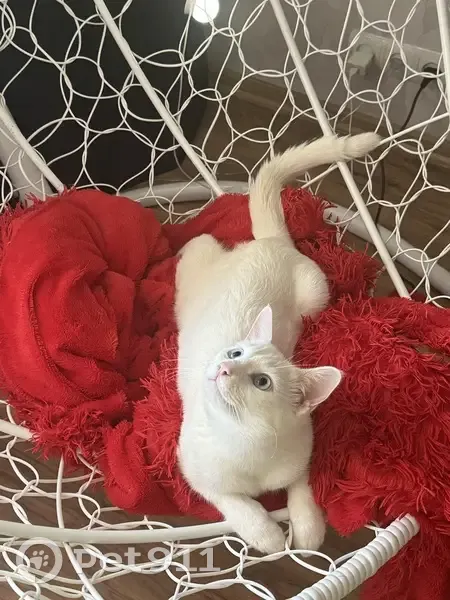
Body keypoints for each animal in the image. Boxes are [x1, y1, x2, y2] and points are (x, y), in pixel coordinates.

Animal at [175, 132, 380, 554]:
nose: (224, 367)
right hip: (198, 265)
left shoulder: (300, 455)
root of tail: (269, 242)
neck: (250, 444)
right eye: (234, 352)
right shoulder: (194, 469)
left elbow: (301, 490)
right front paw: (266, 534)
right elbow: (237, 503)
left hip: (316, 296)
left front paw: (309, 528)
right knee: (197, 242)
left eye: (262, 382)